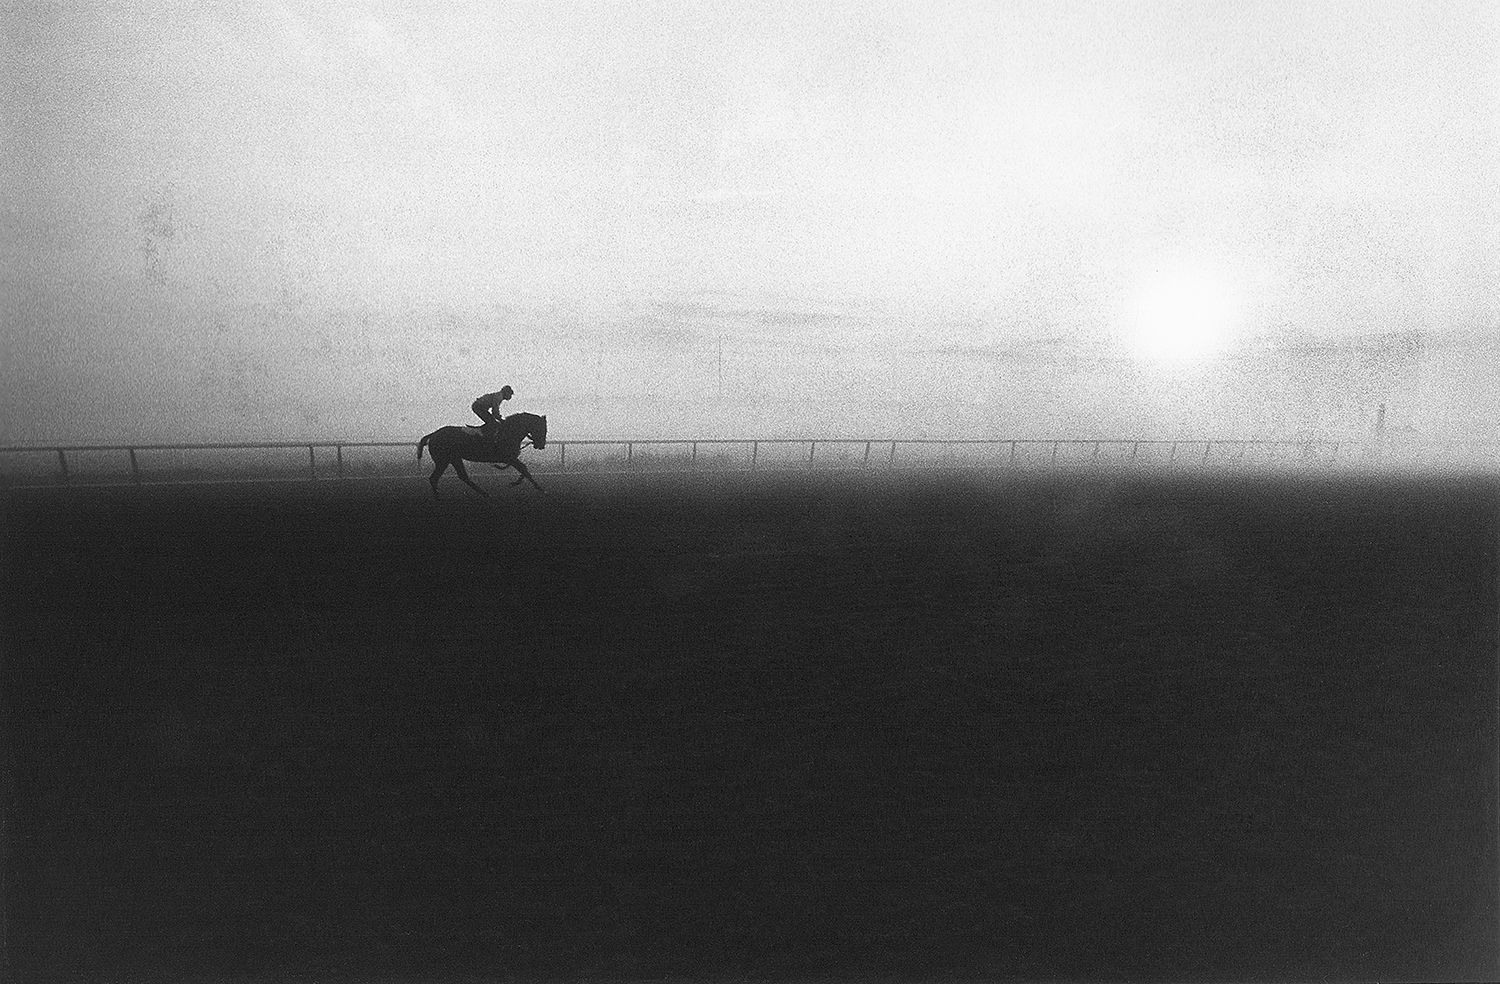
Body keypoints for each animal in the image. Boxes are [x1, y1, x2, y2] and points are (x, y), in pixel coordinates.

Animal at [417, 411, 546, 495]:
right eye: (542, 428)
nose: (541, 445)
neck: (510, 431)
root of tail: (433, 435)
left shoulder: (511, 458)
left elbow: (524, 469)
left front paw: (518, 482)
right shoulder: (509, 458)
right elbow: (524, 469)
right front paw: (540, 488)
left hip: (454, 458)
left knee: (462, 476)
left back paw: (484, 493)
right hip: (443, 460)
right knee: (434, 478)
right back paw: (439, 498)